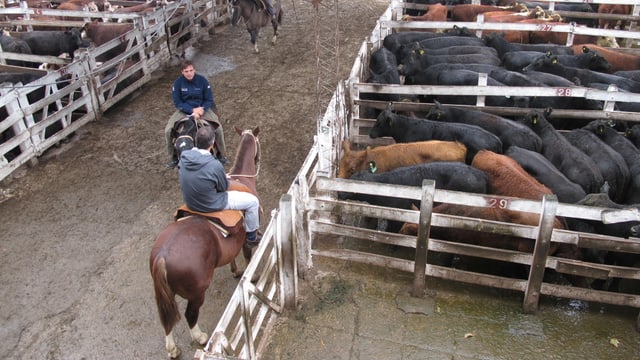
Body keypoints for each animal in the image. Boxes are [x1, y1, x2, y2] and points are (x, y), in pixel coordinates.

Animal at [150, 126, 260, 358]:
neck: (241, 180)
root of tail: (162, 256)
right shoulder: (246, 237)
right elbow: (248, 254)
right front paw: (251, 274)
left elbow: (233, 258)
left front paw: (235, 271)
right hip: (197, 293)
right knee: (190, 315)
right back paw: (200, 337)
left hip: (163, 295)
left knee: (166, 319)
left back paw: (172, 349)